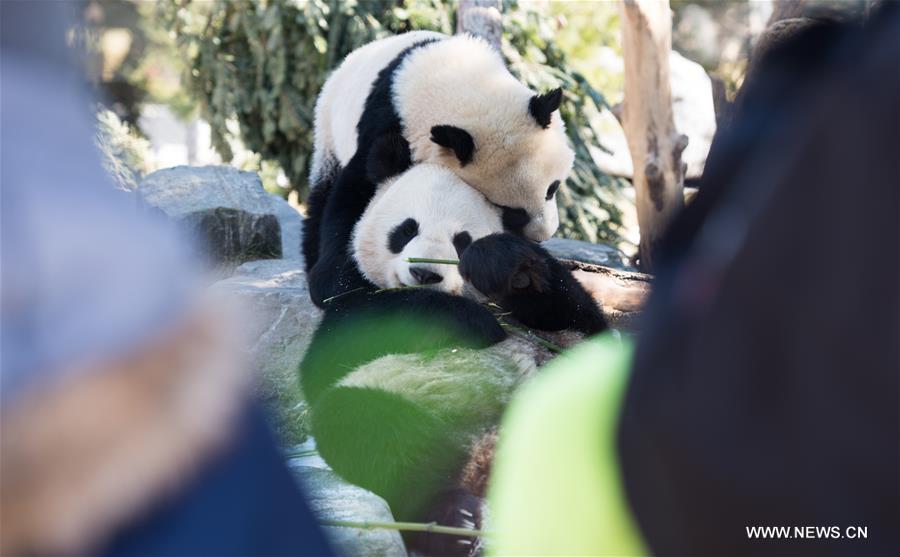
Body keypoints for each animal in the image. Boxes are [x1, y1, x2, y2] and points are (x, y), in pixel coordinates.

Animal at [302, 30, 575, 300]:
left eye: (552, 189)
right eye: (511, 211)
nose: (542, 236)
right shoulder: (385, 123)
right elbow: (356, 189)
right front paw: (339, 274)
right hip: (329, 132)